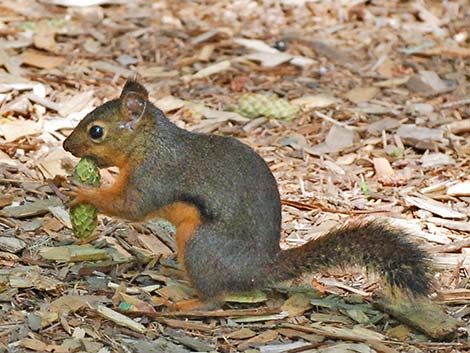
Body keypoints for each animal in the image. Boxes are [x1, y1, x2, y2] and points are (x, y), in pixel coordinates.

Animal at [64, 79, 432, 308]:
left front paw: (82, 191)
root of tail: (256, 269)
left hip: (200, 244)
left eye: (96, 131)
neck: (148, 143)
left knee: (215, 299)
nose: (66, 145)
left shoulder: (154, 177)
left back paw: (183, 303)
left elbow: (131, 207)